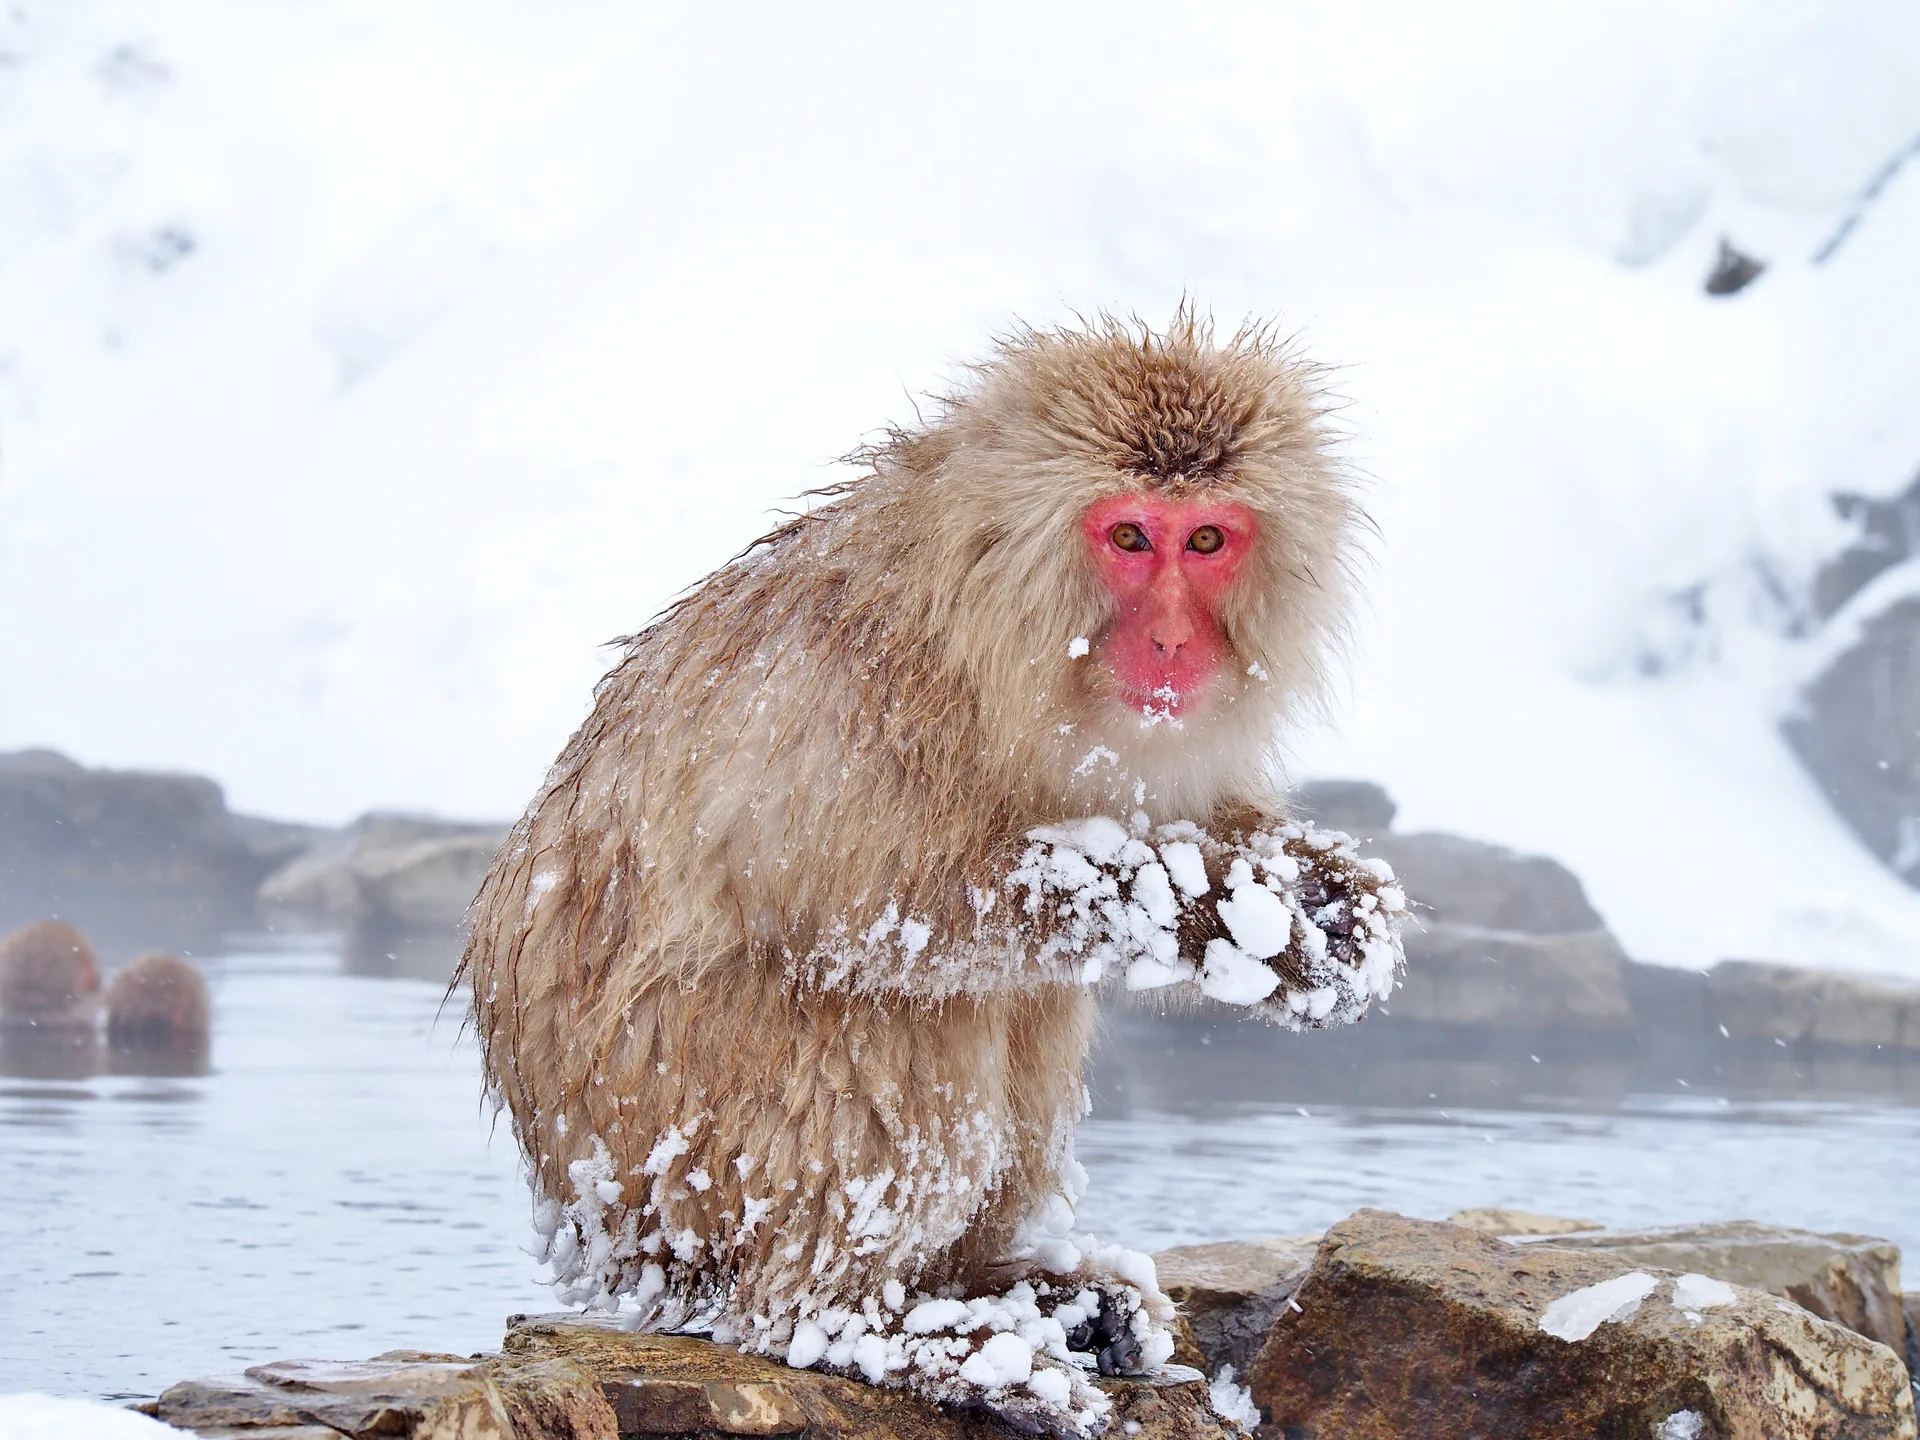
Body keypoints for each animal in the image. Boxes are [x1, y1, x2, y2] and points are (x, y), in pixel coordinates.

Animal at [462, 313, 1405, 1435]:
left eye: (1208, 541)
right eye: (1132, 538)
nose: (1176, 641)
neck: (987, 621)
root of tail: (599, 1242)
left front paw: (1321, 894)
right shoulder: (857, 693)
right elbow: (884, 911)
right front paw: (1195, 905)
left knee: (1029, 1009)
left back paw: (1020, 1290)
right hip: (679, 1152)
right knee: (900, 1031)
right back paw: (873, 1328)